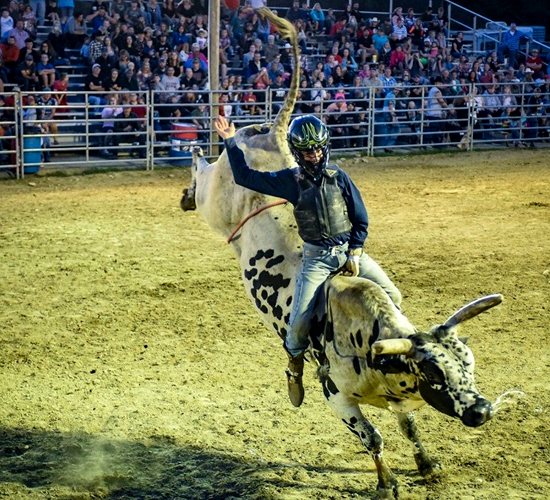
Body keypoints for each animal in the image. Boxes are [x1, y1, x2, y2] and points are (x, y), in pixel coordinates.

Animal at [182, 8, 512, 500]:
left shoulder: (395, 396)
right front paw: (387, 482)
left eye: (467, 364)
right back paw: (200, 159)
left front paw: (427, 464)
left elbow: (409, 426)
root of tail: (272, 134)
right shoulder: (336, 395)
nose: (481, 410)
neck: (365, 335)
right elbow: (372, 437)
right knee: (204, 170)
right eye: (436, 375)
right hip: (216, 200)